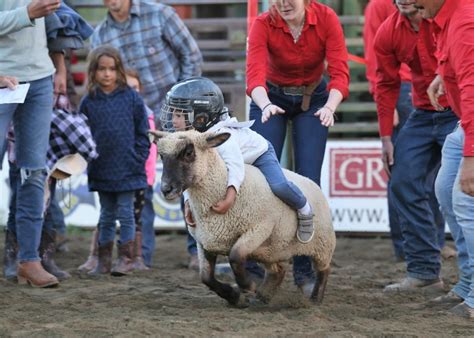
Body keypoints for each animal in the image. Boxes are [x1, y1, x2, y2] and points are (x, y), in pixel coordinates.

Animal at [150, 129, 336, 306]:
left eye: (188, 153)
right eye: (162, 156)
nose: (166, 189)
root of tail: (313, 183)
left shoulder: (259, 229)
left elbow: (235, 256)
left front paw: (248, 286)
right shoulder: (205, 241)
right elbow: (206, 277)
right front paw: (236, 298)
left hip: (322, 244)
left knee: (324, 270)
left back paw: (314, 299)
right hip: (273, 248)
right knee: (278, 270)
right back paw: (262, 297)